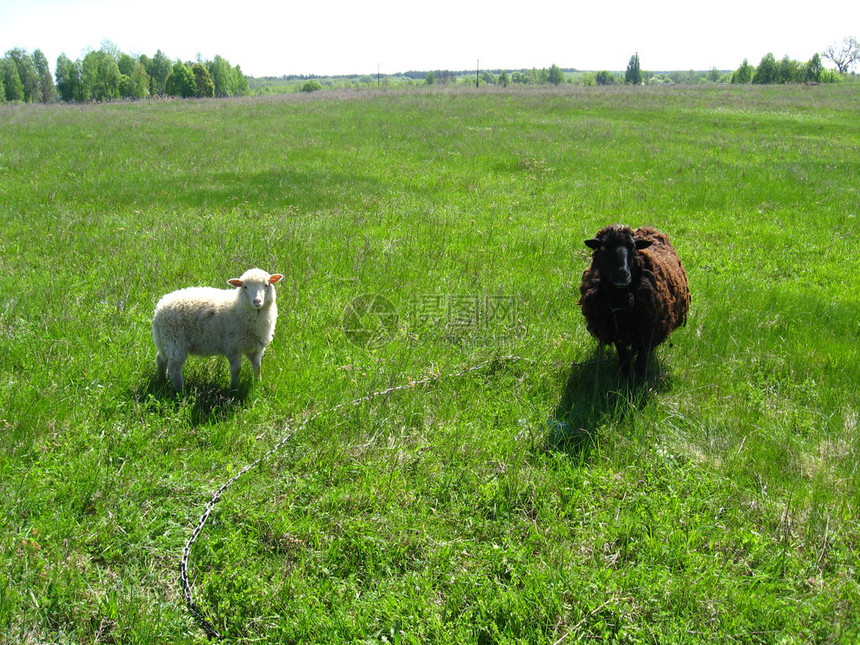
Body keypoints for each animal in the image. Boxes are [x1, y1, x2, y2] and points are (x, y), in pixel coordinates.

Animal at [152, 266, 286, 390]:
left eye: (266, 285)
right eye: (245, 287)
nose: (257, 301)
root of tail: (159, 308)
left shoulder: (256, 347)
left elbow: (258, 368)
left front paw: (258, 384)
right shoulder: (232, 347)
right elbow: (237, 370)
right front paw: (233, 388)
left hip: (164, 341)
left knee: (161, 359)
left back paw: (162, 379)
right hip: (175, 341)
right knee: (174, 368)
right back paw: (180, 390)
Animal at [576, 225, 692, 378]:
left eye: (633, 248)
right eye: (603, 248)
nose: (622, 275)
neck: (619, 299)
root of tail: (648, 228)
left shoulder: (647, 332)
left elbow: (641, 364)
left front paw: (639, 382)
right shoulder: (616, 333)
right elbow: (624, 359)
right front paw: (625, 378)